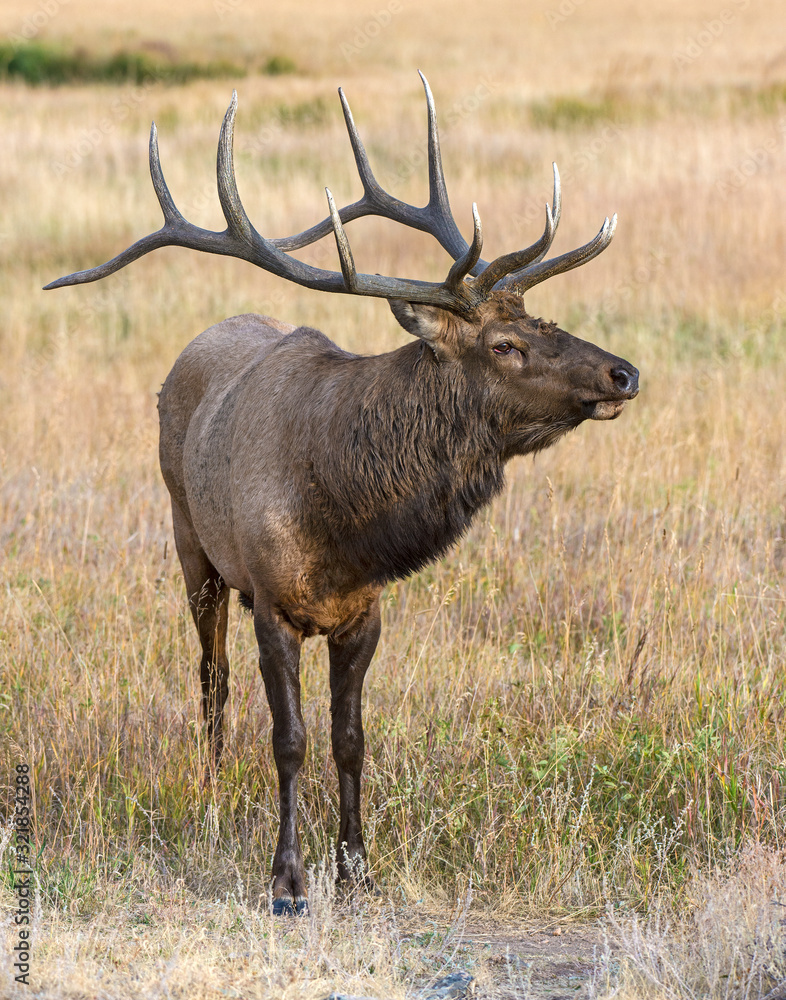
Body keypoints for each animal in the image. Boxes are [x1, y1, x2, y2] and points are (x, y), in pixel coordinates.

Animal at [46, 74, 639, 915]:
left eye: (544, 321)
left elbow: (351, 739)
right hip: (189, 540)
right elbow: (290, 740)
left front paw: (358, 866)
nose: (624, 373)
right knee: (210, 676)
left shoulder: (367, 612)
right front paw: (288, 879)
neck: (344, 523)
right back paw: (212, 790)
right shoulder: (272, 602)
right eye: (506, 345)